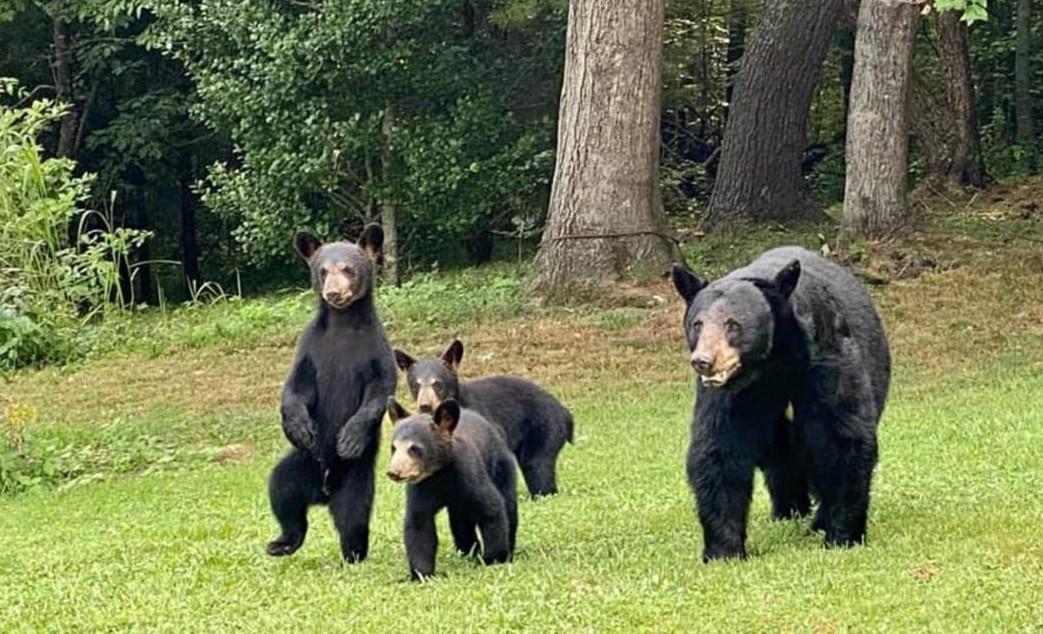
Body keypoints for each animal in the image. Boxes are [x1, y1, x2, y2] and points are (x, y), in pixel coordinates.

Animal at [266, 225, 397, 562]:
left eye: (348, 269)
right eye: (322, 270)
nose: (333, 293)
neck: (342, 324)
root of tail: (322, 492)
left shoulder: (375, 350)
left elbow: (380, 391)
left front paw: (349, 438)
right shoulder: (310, 348)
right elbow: (295, 387)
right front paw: (299, 428)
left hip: (355, 479)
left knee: (353, 518)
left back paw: (354, 554)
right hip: (299, 465)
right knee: (283, 494)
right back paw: (282, 542)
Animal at [385, 397, 518, 581]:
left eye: (414, 449)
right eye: (394, 448)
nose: (394, 472)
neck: (440, 472)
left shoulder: (468, 473)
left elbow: (491, 507)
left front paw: (494, 558)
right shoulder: (421, 487)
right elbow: (419, 523)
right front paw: (421, 574)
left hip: (501, 465)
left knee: (508, 504)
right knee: (460, 523)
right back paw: (469, 553)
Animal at [393, 339, 573, 498]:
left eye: (437, 384)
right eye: (416, 385)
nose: (425, 405)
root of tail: (565, 412)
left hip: (545, 427)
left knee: (537, 467)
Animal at [671, 246, 890, 561]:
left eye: (733, 324)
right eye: (697, 324)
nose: (703, 361)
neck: (772, 364)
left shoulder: (826, 362)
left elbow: (841, 438)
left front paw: (842, 535)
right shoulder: (729, 395)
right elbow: (719, 448)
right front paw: (724, 550)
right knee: (782, 463)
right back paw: (787, 512)